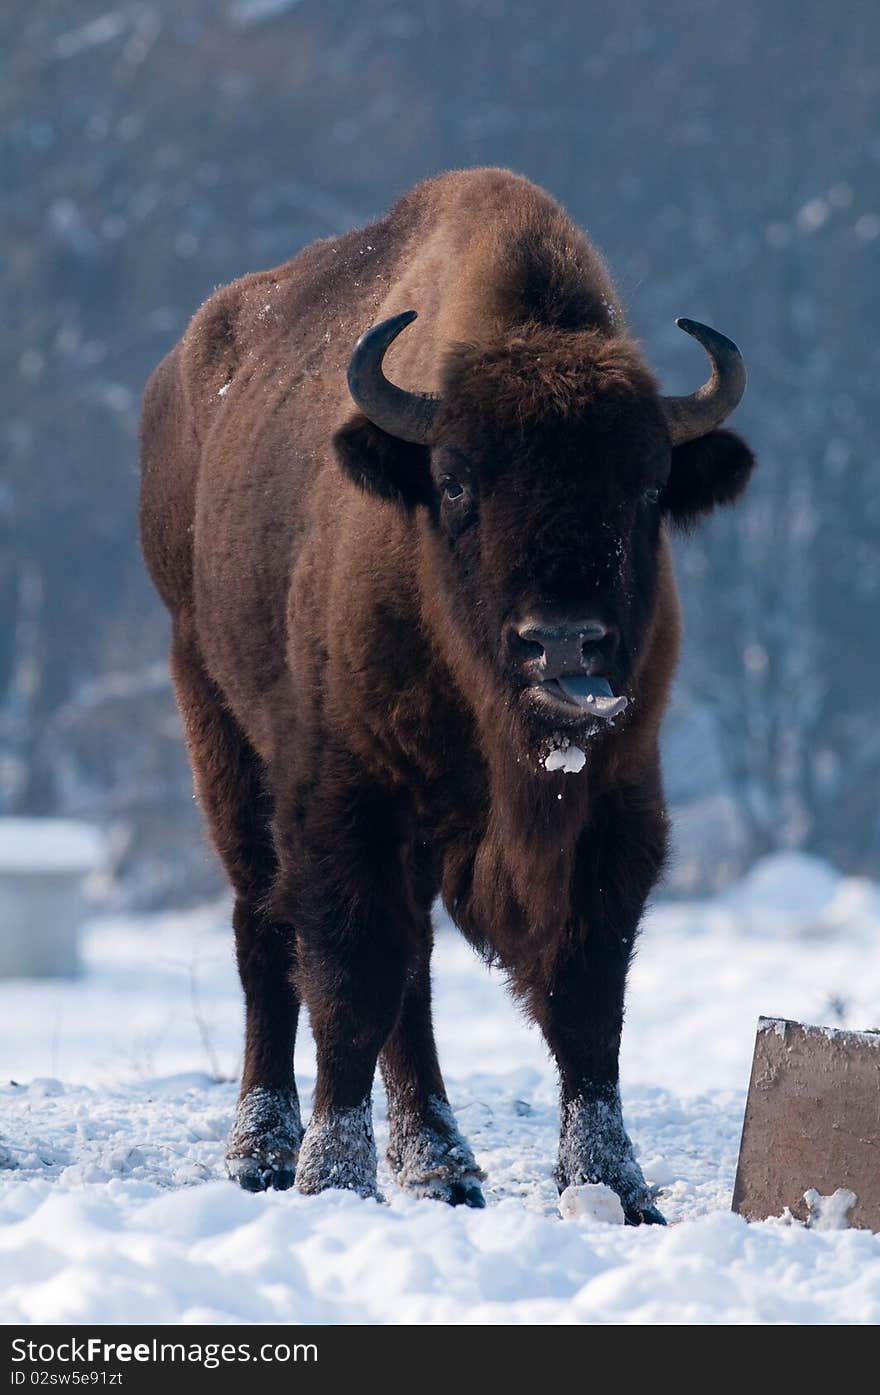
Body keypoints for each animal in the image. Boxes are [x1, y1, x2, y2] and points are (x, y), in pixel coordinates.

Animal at [140, 166, 753, 1222]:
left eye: (647, 486)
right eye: (458, 480)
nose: (563, 639)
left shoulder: (614, 806)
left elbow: (586, 1000)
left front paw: (616, 1188)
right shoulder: (342, 802)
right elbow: (350, 983)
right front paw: (331, 1178)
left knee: (411, 975)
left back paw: (443, 1166)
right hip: (216, 725)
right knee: (266, 934)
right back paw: (263, 1152)